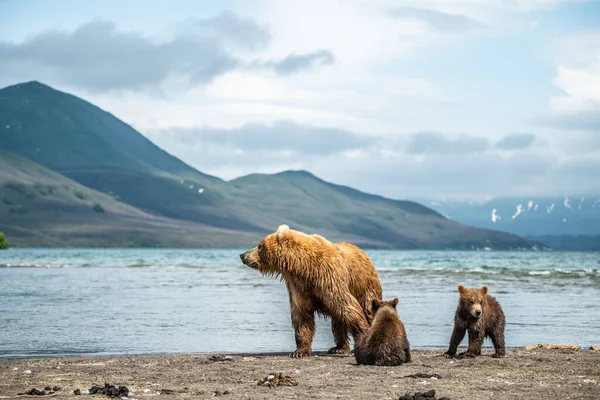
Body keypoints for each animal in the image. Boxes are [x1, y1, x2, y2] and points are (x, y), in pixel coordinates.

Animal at [238, 223, 382, 358]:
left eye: (260, 245)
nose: (242, 255)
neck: (304, 267)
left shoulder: (329, 279)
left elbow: (348, 308)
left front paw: (363, 338)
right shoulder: (298, 286)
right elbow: (301, 316)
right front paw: (300, 351)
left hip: (366, 286)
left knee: (367, 310)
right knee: (337, 319)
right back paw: (339, 348)